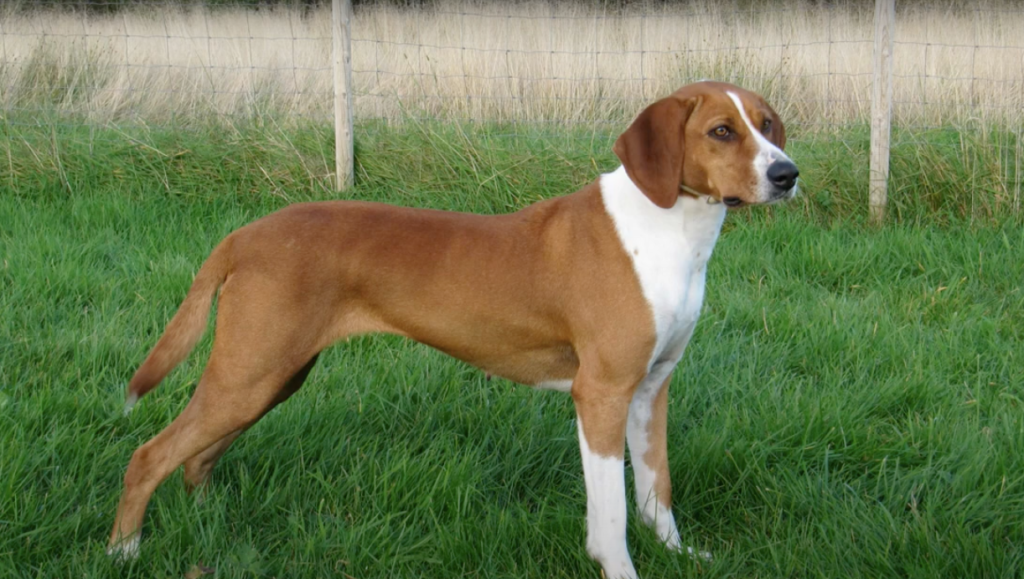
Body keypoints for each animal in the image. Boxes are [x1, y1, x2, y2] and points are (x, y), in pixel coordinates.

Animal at [110, 78, 798, 573]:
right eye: (720, 131)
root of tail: (245, 235)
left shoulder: (651, 390)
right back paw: (124, 550)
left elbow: (658, 492)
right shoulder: (601, 394)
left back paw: (207, 526)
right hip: (249, 374)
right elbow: (611, 517)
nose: (787, 173)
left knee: (197, 458)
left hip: (271, 377)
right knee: (150, 455)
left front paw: (679, 555)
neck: (666, 229)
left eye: (767, 125)